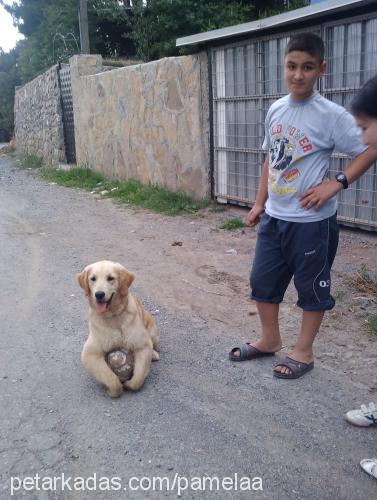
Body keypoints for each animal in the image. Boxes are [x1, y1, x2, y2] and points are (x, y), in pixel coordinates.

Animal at [76, 262, 159, 398]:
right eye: (93, 278)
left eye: (110, 278)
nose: (99, 294)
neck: (113, 316)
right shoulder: (90, 353)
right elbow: (111, 379)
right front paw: (113, 390)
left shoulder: (142, 345)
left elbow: (138, 379)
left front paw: (129, 384)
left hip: (153, 332)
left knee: (152, 344)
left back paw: (154, 354)